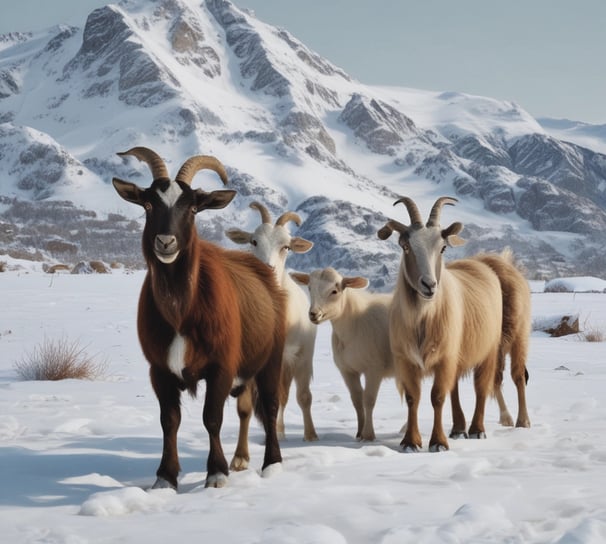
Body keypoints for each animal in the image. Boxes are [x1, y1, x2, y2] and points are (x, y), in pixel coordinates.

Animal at [113, 146, 288, 488]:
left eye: (193, 208)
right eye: (149, 204)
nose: (165, 242)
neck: (180, 312)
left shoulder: (221, 366)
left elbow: (212, 418)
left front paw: (217, 473)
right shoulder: (159, 370)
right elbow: (169, 420)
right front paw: (166, 476)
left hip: (271, 359)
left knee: (271, 405)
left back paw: (273, 464)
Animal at [228, 202, 320, 440]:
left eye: (286, 247)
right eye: (253, 241)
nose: (266, 268)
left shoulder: (302, 356)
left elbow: (304, 396)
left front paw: (311, 436)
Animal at [292, 268, 396, 442]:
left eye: (334, 291)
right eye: (310, 288)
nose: (314, 314)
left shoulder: (374, 368)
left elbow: (369, 399)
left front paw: (368, 435)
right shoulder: (347, 370)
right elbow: (357, 399)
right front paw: (359, 433)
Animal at [380, 196, 504, 450]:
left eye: (443, 247)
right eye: (406, 246)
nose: (429, 285)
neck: (423, 318)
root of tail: (481, 265)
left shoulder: (445, 357)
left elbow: (437, 397)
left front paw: (438, 443)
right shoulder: (406, 359)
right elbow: (413, 397)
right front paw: (410, 442)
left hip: (488, 349)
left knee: (480, 388)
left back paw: (477, 429)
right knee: (454, 389)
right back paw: (458, 429)